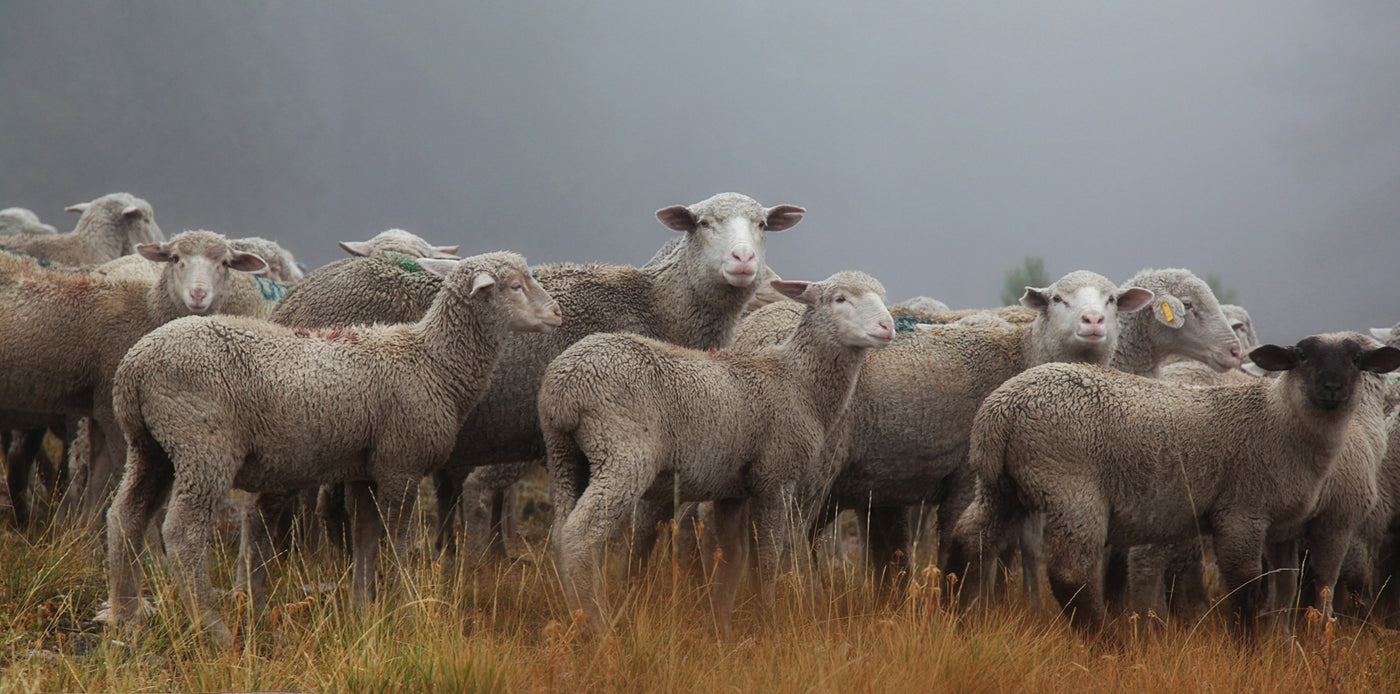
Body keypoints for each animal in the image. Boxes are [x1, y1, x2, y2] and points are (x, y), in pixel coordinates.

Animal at [0, 228, 267, 526]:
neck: (149, 312)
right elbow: (120, 477)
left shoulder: (98, 408)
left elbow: (98, 483)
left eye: (224, 263)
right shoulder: (112, 409)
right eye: (175, 258)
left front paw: (88, 533)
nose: (198, 294)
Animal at [106, 249, 562, 646]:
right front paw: (407, 606)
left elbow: (364, 538)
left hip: (149, 447)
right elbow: (398, 539)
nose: (556, 313)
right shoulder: (401, 463)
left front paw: (362, 608)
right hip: (203, 446)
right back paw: (212, 627)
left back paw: (127, 616)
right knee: (182, 532)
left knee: (125, 515)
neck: (432, 361)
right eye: (516, 286)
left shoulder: (365, 470)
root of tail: (135, 364)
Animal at [952, 333, 1400, 638]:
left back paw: (958, 616)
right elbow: (1246, 583)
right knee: (1070, 574)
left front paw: (1279, 642)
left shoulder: (1283, 528)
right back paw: (1110, 642)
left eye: (1357, 360)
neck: (1279, 421)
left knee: (969, 538)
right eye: (1301, 357)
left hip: (1000, 486)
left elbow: (1285, 588)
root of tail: (1001, 411)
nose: (1332, 388)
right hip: (1069, 487)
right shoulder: (1242, 512)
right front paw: (1246, 647)